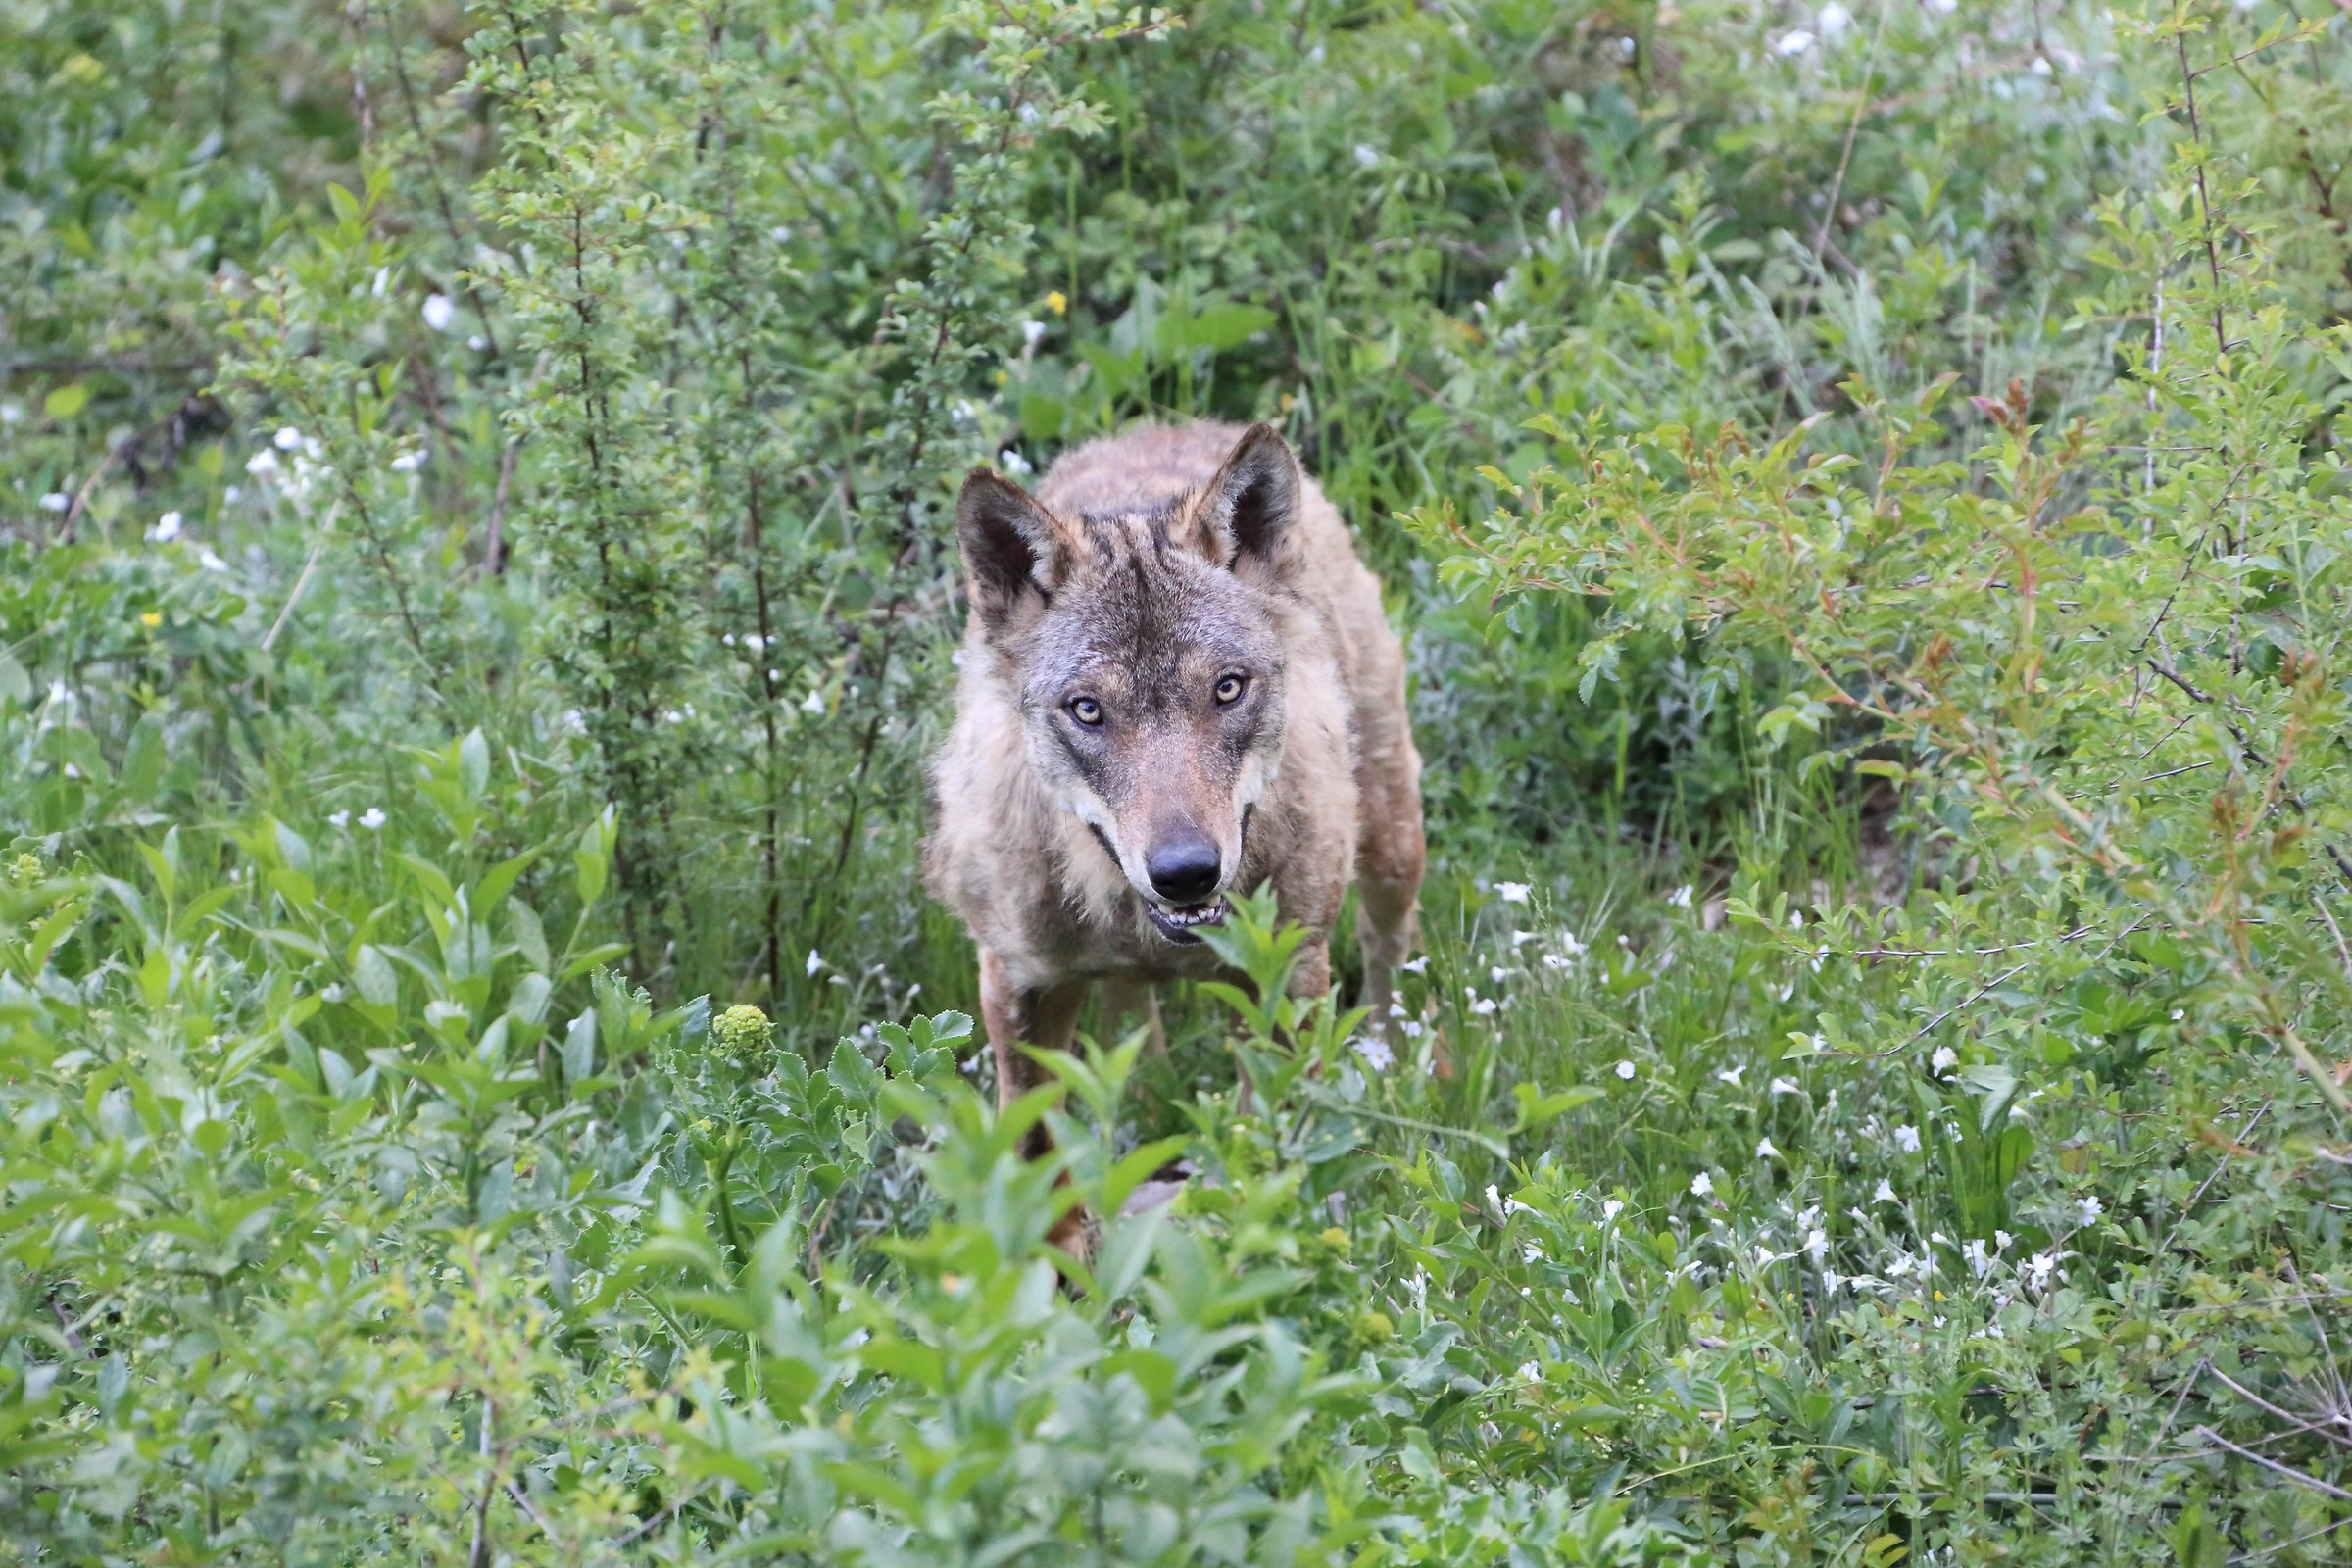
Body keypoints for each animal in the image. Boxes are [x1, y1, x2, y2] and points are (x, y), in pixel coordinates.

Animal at [925, 420, 1425, 1144]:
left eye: (1227, 688)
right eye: (1087, 709)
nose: (1186, 873)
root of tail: (1174, 426)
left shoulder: (1286, 973)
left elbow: (1266, 1145)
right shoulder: (1017, 983)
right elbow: (1029, 1152)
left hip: (1390, 847)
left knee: (1388, 957)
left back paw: (1394, 1064)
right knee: (1131, 1016)